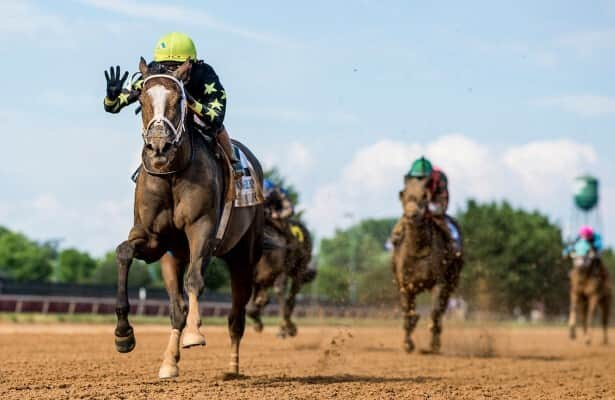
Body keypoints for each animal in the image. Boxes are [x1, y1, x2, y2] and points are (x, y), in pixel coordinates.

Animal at [114, 57, 264, 380]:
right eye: (141, 99)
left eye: (179, 100)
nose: (158, 147)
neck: (172, 173)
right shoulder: (154, 240)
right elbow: (124, 252)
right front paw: (123, 334)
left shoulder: (202, 229)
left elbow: (195, 280)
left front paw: (195, 333)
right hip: (174, 255)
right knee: (176, 307)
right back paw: (169, 362)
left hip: (243, 255)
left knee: (236, 315)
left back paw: (232, 368)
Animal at [392, 178, 464, 354]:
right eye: (404, 195)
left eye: (424, 196)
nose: (412, 215)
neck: (418, 250)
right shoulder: (406, 285)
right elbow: (407, 313)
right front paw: (408, 344)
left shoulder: (439, 283)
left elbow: (435, 312)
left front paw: (432, 345)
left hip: (451, 284)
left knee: (442, 310)